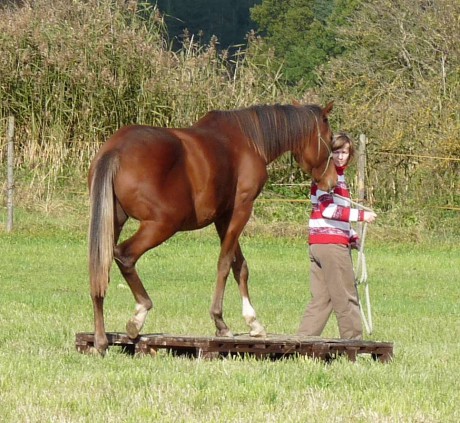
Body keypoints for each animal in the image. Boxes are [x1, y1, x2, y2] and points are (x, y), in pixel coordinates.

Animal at [88, 102, 336, 354]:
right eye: (330, 139)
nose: (332, 181)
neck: (248, 139)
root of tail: (116, 150)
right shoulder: (240, 210)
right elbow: (225, 264)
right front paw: (220, 322)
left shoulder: (223, 217)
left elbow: (240, 266)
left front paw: (253, 322)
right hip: (162, 225)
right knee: (124, 256)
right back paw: (139, 314)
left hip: (114, 221)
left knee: (100, 269)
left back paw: (100, 340)